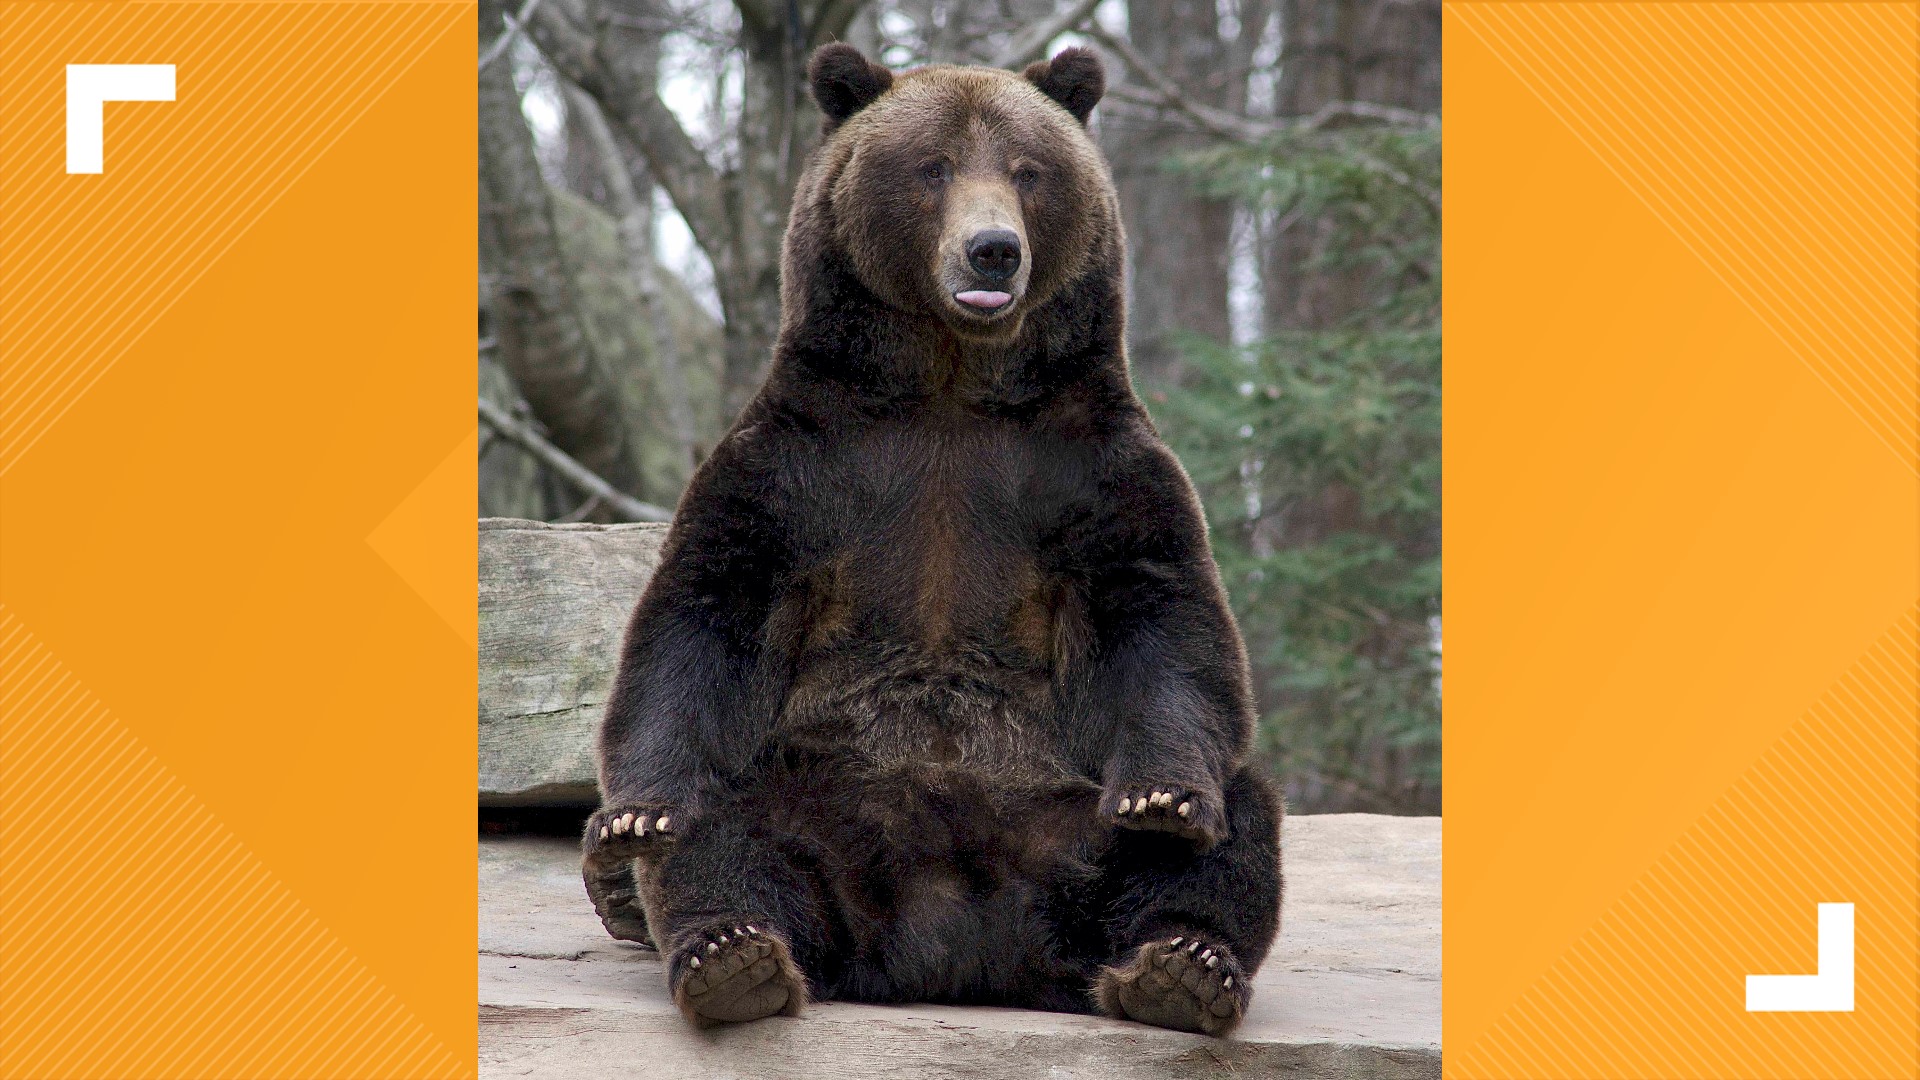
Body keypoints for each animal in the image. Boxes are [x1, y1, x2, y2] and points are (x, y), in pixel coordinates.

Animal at [578, 43, 1283, 1037]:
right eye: (933, 167)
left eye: (1028, 171)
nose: (994, 248)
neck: (952, 381)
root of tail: (958, 943)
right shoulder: (806, 461)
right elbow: (706, 615)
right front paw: (629, 818)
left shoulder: (1088, 463)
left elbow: (1163, 619)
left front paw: (1165, 796)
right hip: (827, 795)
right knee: (727, 822)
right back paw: (734, 958)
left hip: (1064, 818)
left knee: (1233, 823)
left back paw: (1181, 967)